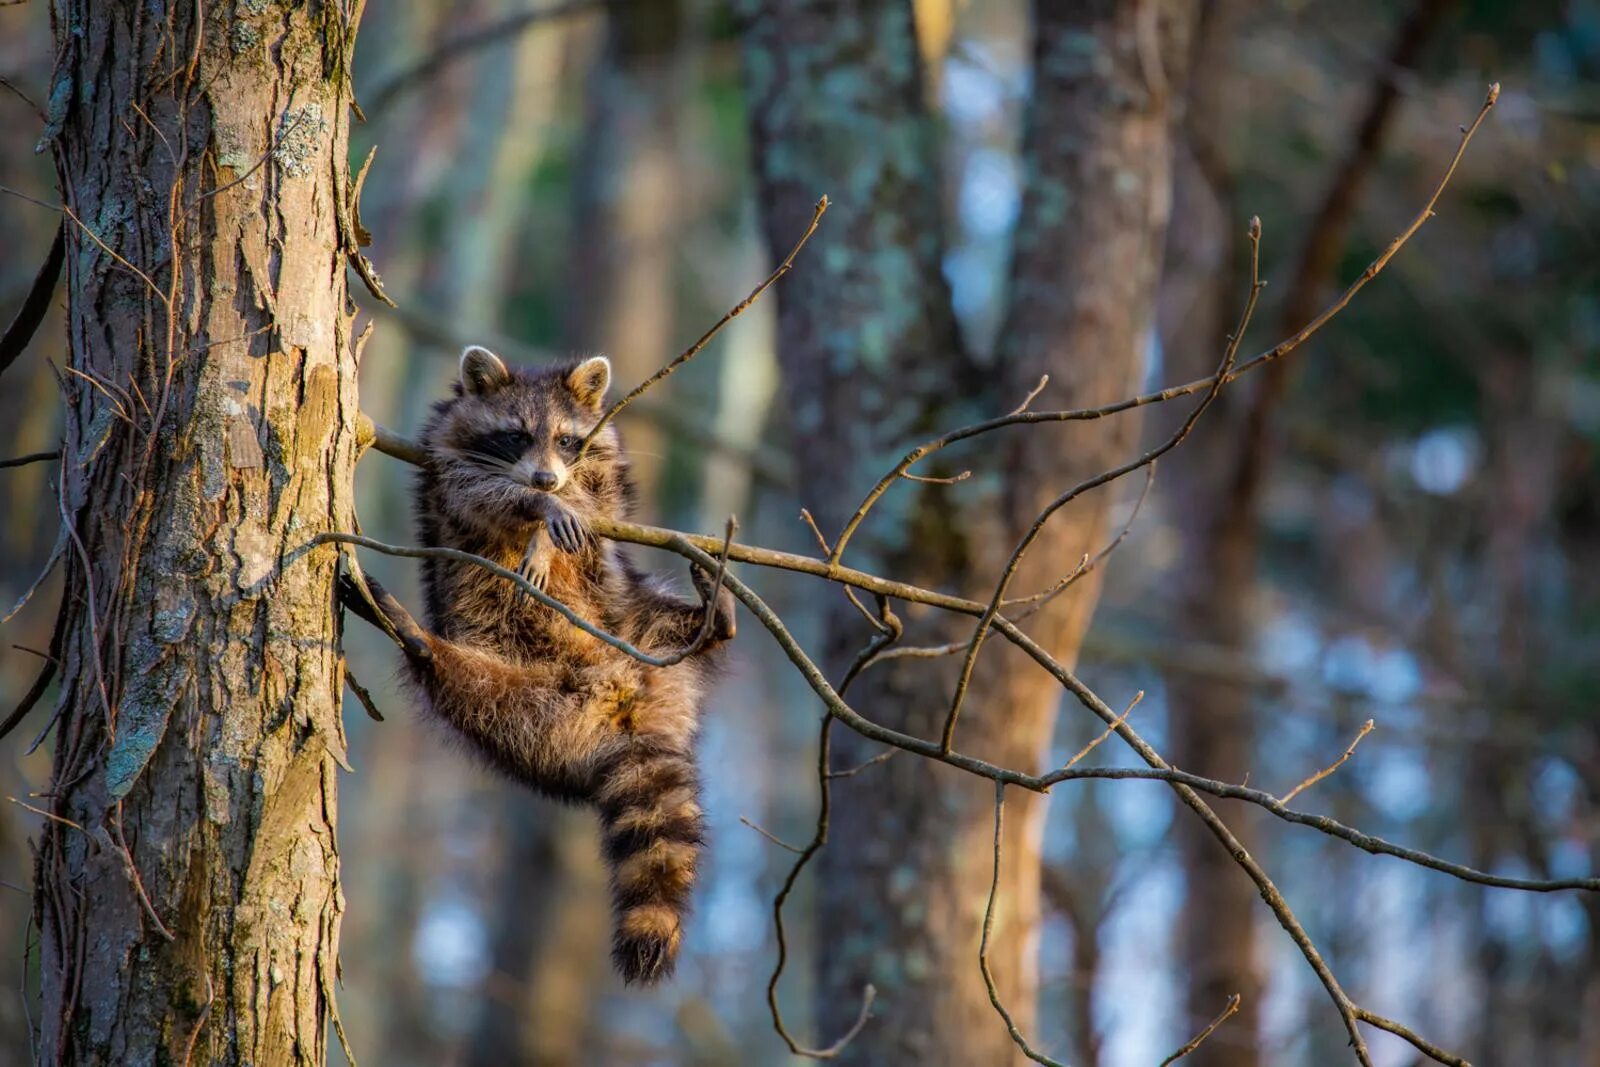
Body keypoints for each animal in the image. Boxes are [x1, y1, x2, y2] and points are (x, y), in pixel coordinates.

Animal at [347, 348, 732, 985]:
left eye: (568, 441)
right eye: (516, 435)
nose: (547, 480)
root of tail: (630, 713)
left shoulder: (605, 460)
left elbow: (601, 502)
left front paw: (551, 525)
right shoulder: (444, 459)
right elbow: (478, 491)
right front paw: (537, 508)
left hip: (639, 623)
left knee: (667, 614)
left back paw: (716, 620)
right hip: (524, 707)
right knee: (466, 686)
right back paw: (417, 638)